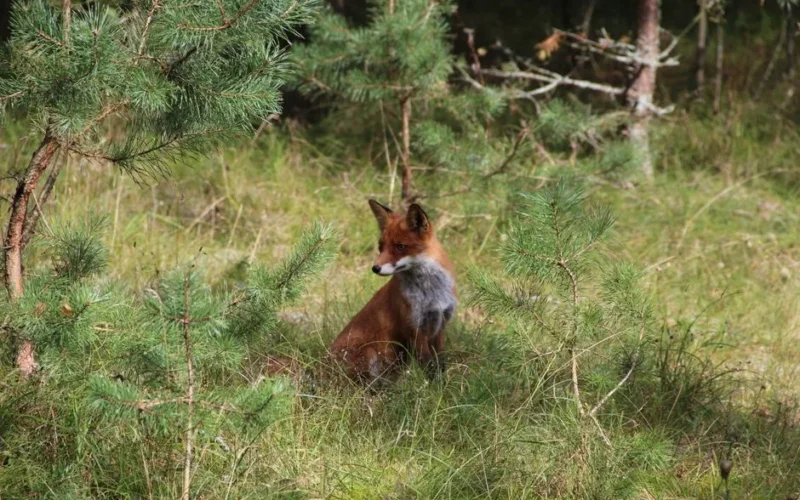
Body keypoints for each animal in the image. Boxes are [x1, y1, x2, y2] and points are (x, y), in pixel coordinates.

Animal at [330, 200, 457, 381]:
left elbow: (440, 363)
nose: (375, 268)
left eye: (400, 246)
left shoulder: (440, 326)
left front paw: (443, 384)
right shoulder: (413, 329)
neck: (431, 293)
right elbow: (429, 365)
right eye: (381, 247)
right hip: (369, 352)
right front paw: (434, 386)